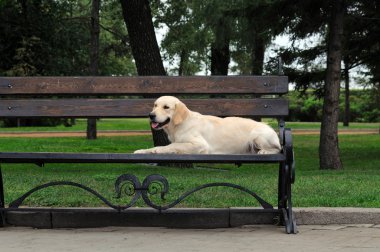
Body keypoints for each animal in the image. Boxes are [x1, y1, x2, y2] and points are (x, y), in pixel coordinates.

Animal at [134, 96, 282, 156]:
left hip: (258, 136)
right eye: (155, 105)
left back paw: (264, 151)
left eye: (166, 107)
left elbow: (173, 146)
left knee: (278, 149)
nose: (151, 115)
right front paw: (143, 151)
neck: (181, 124)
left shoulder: (200, 144)